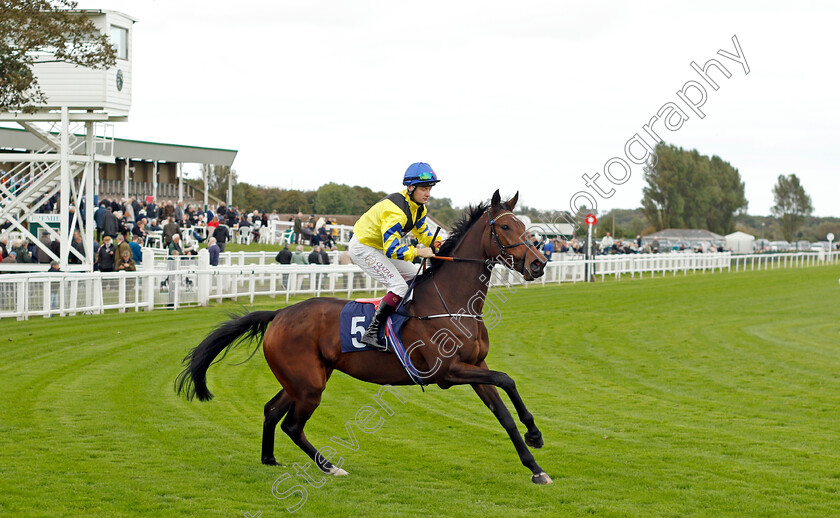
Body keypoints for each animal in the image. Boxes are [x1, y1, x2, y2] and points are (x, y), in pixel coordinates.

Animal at [177, 192, 556, 488]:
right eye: (505, 228)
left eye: (524, 227)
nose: (539, 264)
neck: (451, 301)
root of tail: (280, 313)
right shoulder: (448, 372)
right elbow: (507, 379)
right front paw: (535, 437)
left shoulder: (476, 365)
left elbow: (504, 411)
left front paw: (535, 461)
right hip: (309, 385)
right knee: (292, 425)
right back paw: (330, 467)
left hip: (302, 380)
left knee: (272, 411)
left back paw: (269, 459)